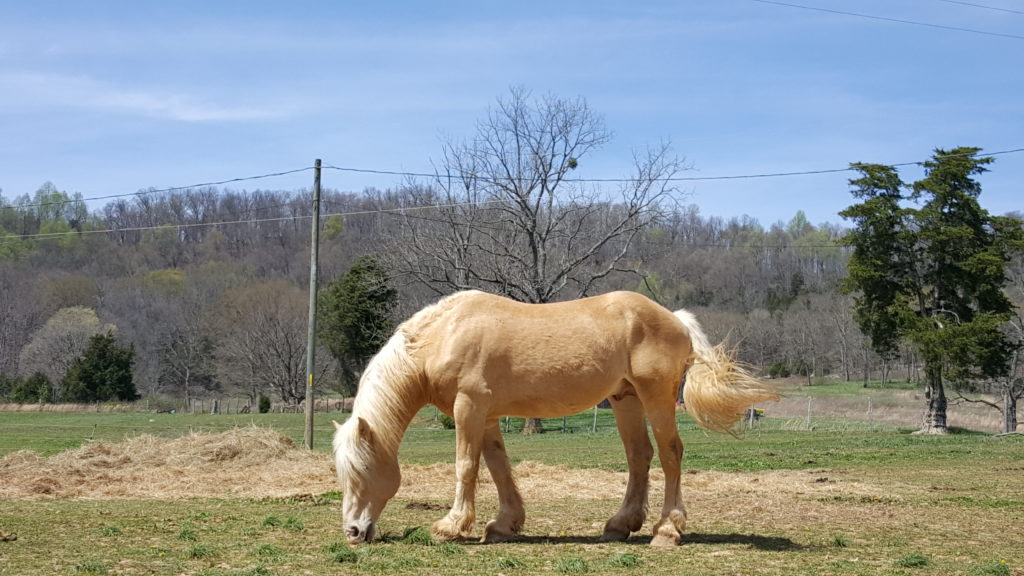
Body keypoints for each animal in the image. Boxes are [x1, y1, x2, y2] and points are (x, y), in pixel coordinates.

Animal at [333, 289, 774, 545]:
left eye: (361, 471)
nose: (352, 532)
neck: (444, 335)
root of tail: (675, 317)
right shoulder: (486, 416)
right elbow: (498, 467)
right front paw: (503, 525)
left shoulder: (468, 408)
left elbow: (466, 467)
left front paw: (451, 526)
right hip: (625, 399)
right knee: (640, 456)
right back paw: (620, 525)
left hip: (656, 398)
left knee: (670, 454)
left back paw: (666, 530)